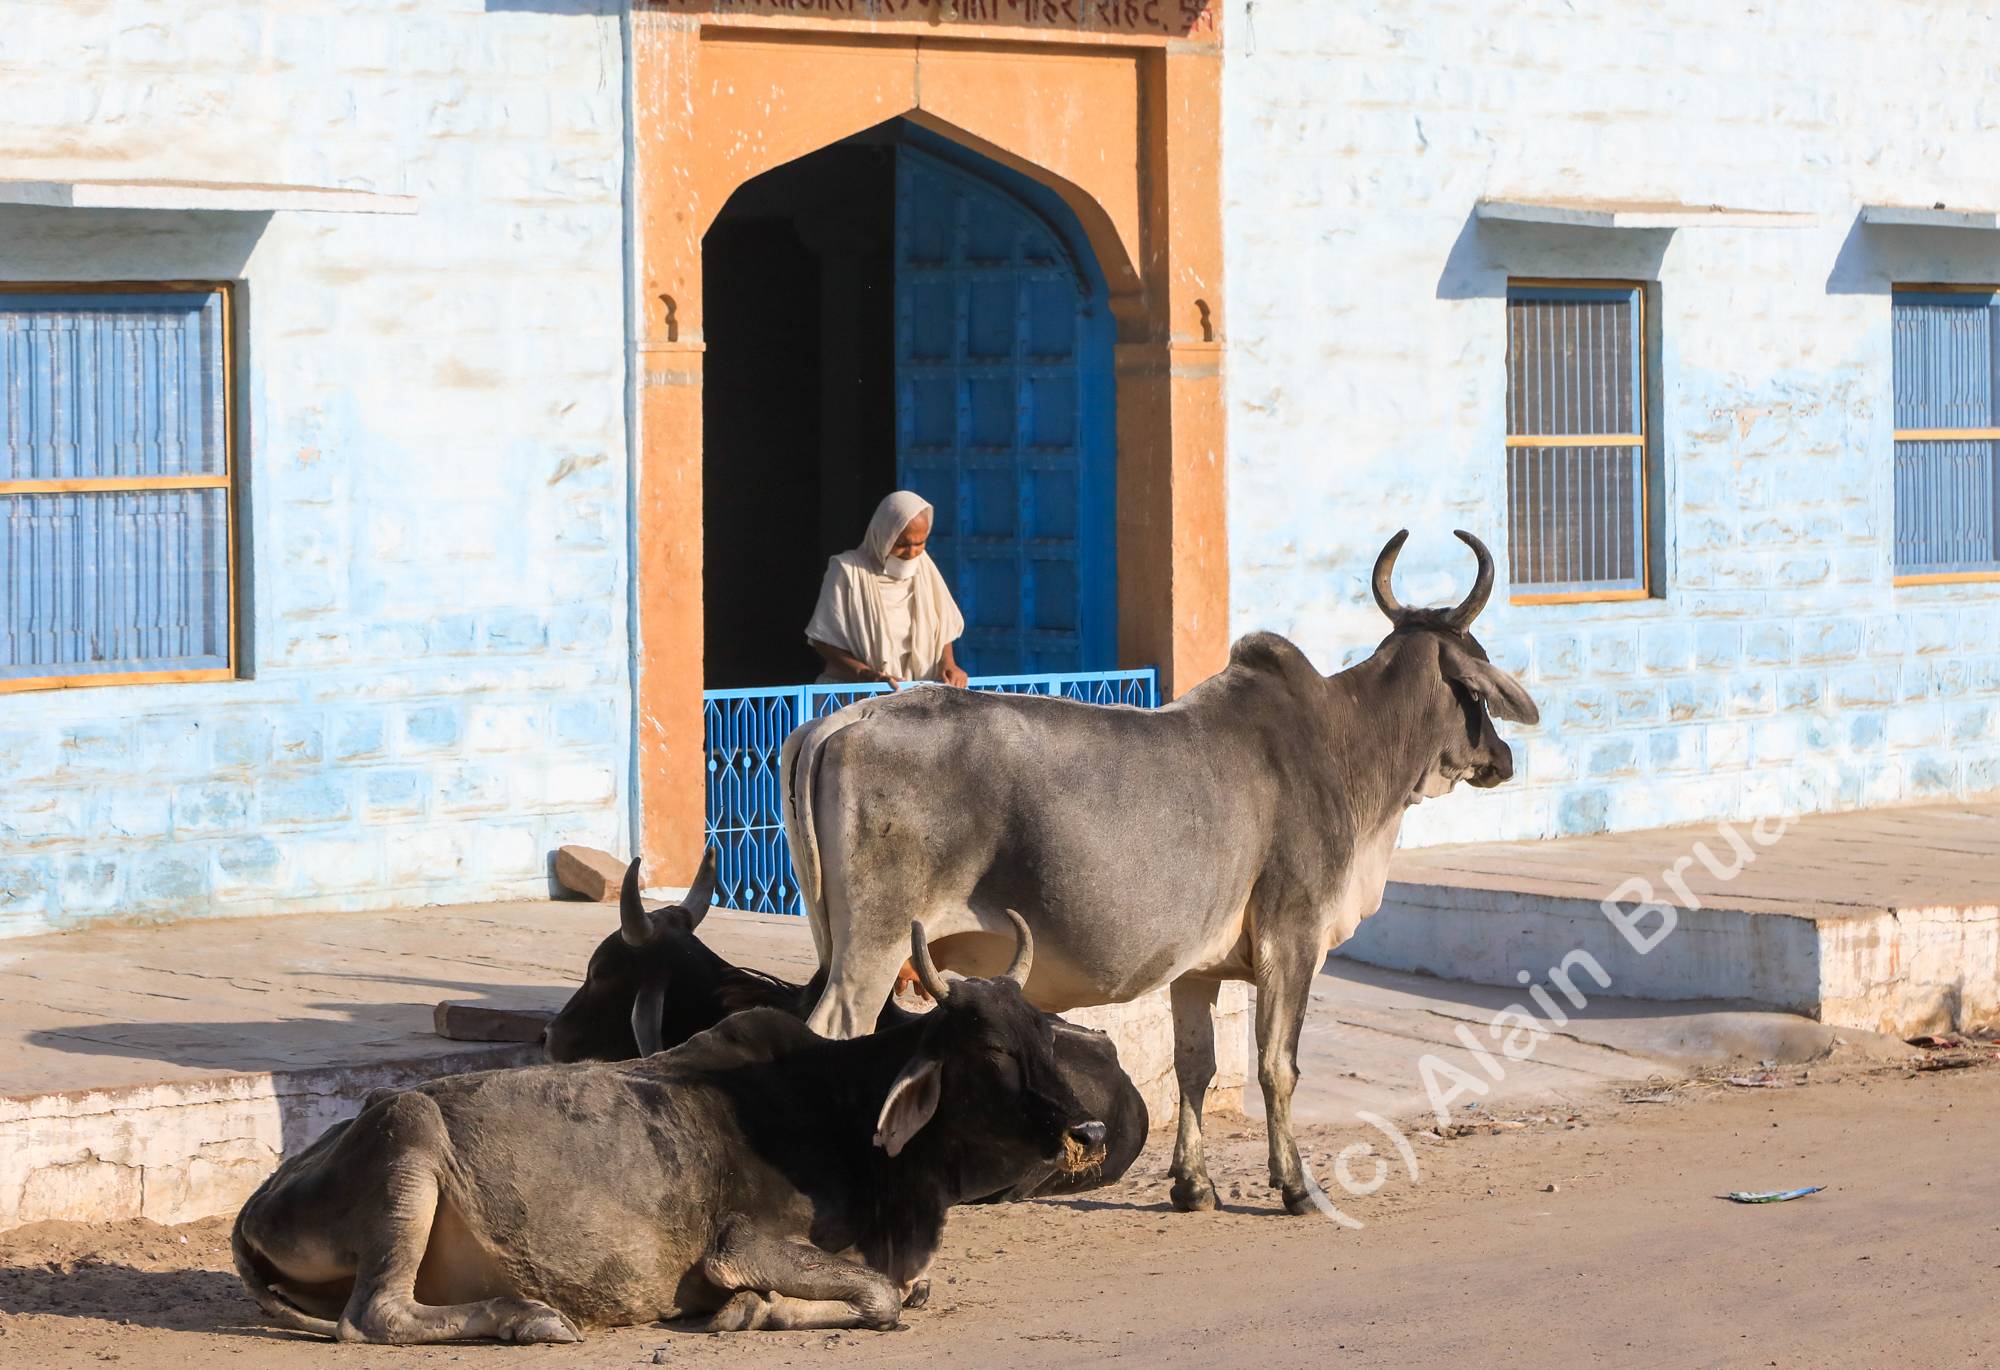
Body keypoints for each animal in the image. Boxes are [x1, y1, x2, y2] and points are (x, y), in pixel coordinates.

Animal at [232, 916, 1106, 1344]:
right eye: (991, 1048)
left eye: (1041, 1031)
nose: (1093, 1131)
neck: (849, 1112)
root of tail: (256, 1204)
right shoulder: (740, 1244)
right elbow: (884, 1297)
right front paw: (754, 1310)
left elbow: (908, 1289)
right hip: (406, 1132)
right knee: (371, 1317)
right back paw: (527, 1318)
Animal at [782, 530, 1538, 1216]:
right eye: (1478, 684)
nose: (1503, 758)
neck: (1345, 742)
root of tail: (840, 722)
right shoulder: (1292, 940)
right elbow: (1277, 1065)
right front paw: (1294, 1186)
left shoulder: (1197, 967)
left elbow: (1195, 1068)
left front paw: (1193, 1186)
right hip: (871, 954)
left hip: (846, 948)